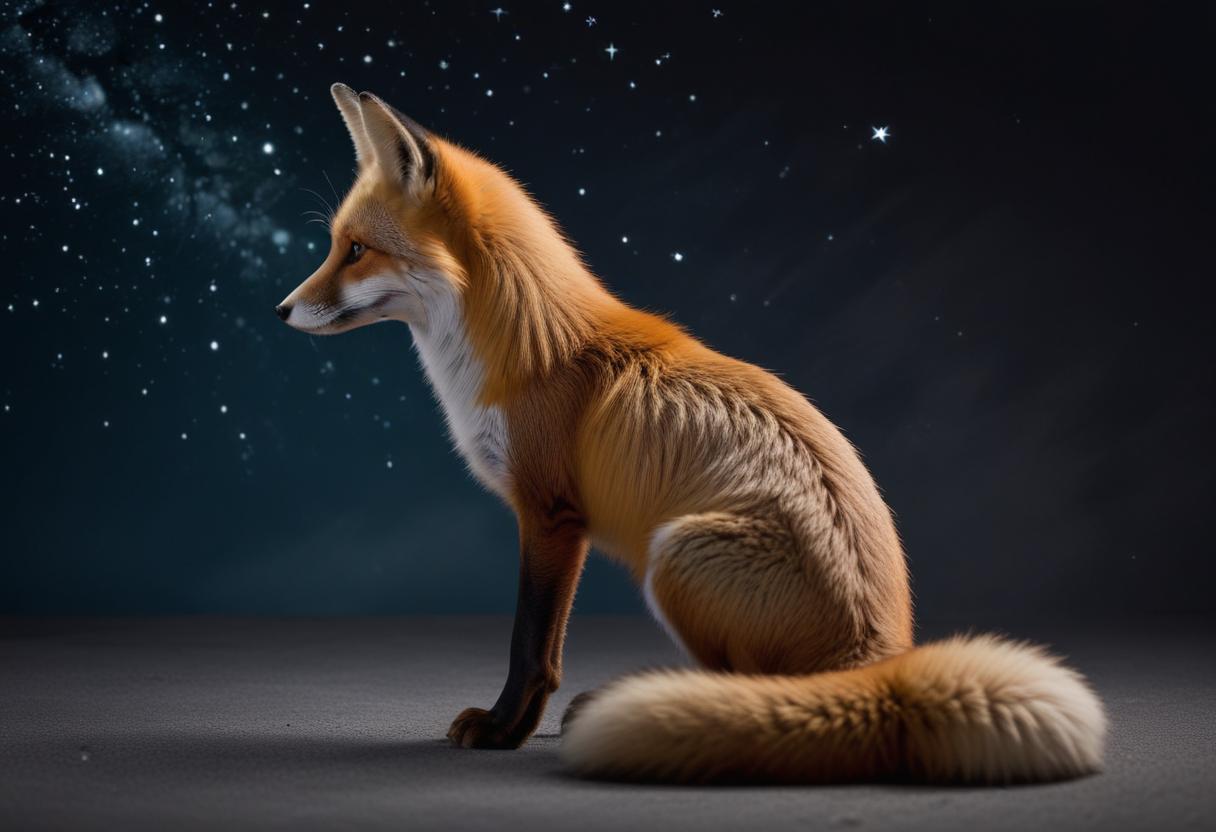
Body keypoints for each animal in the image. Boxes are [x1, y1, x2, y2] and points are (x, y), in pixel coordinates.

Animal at [276, 82, 1106, 783]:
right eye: (335, 244)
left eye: (356, 250)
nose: (281, 310)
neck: (530, 348)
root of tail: (882, 664)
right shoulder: (559, 521)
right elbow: (543, 643)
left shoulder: (550, 515)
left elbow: (531, 642)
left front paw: (504, 729)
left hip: (676, 553)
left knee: (749, 694)